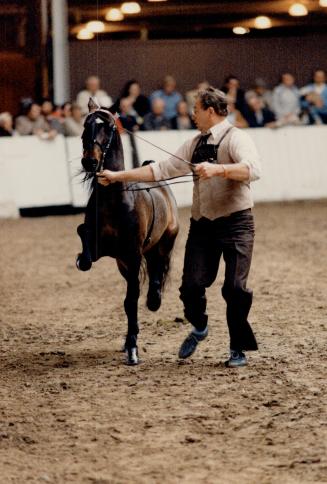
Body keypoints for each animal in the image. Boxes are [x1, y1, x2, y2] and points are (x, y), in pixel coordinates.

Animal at [75, 100, 179, 364]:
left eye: (109, 127)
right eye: (86, 125)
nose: (90, 162)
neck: (115, 199)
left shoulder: (133, 255)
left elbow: (131, 300)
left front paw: (132, 349)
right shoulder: (111, 252)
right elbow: (84, 238)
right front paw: (81, 259)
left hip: (163, 244)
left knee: (157, 271)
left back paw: (153, 300)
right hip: (123, 263)